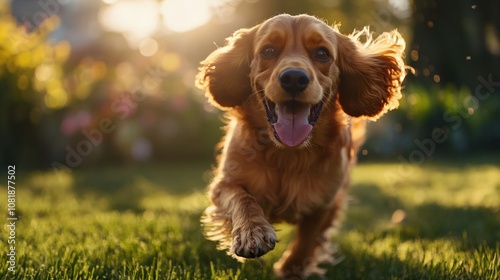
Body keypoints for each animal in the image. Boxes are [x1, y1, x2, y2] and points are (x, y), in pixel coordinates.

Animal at [195, 13, 406, 278]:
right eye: (268, 50)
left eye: (322, 53)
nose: (294, 78)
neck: (288, 155)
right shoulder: (225, 184)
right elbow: (242, 199)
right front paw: (252, 233)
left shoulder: (326, 202)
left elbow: (308, 240)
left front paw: (291, 269)